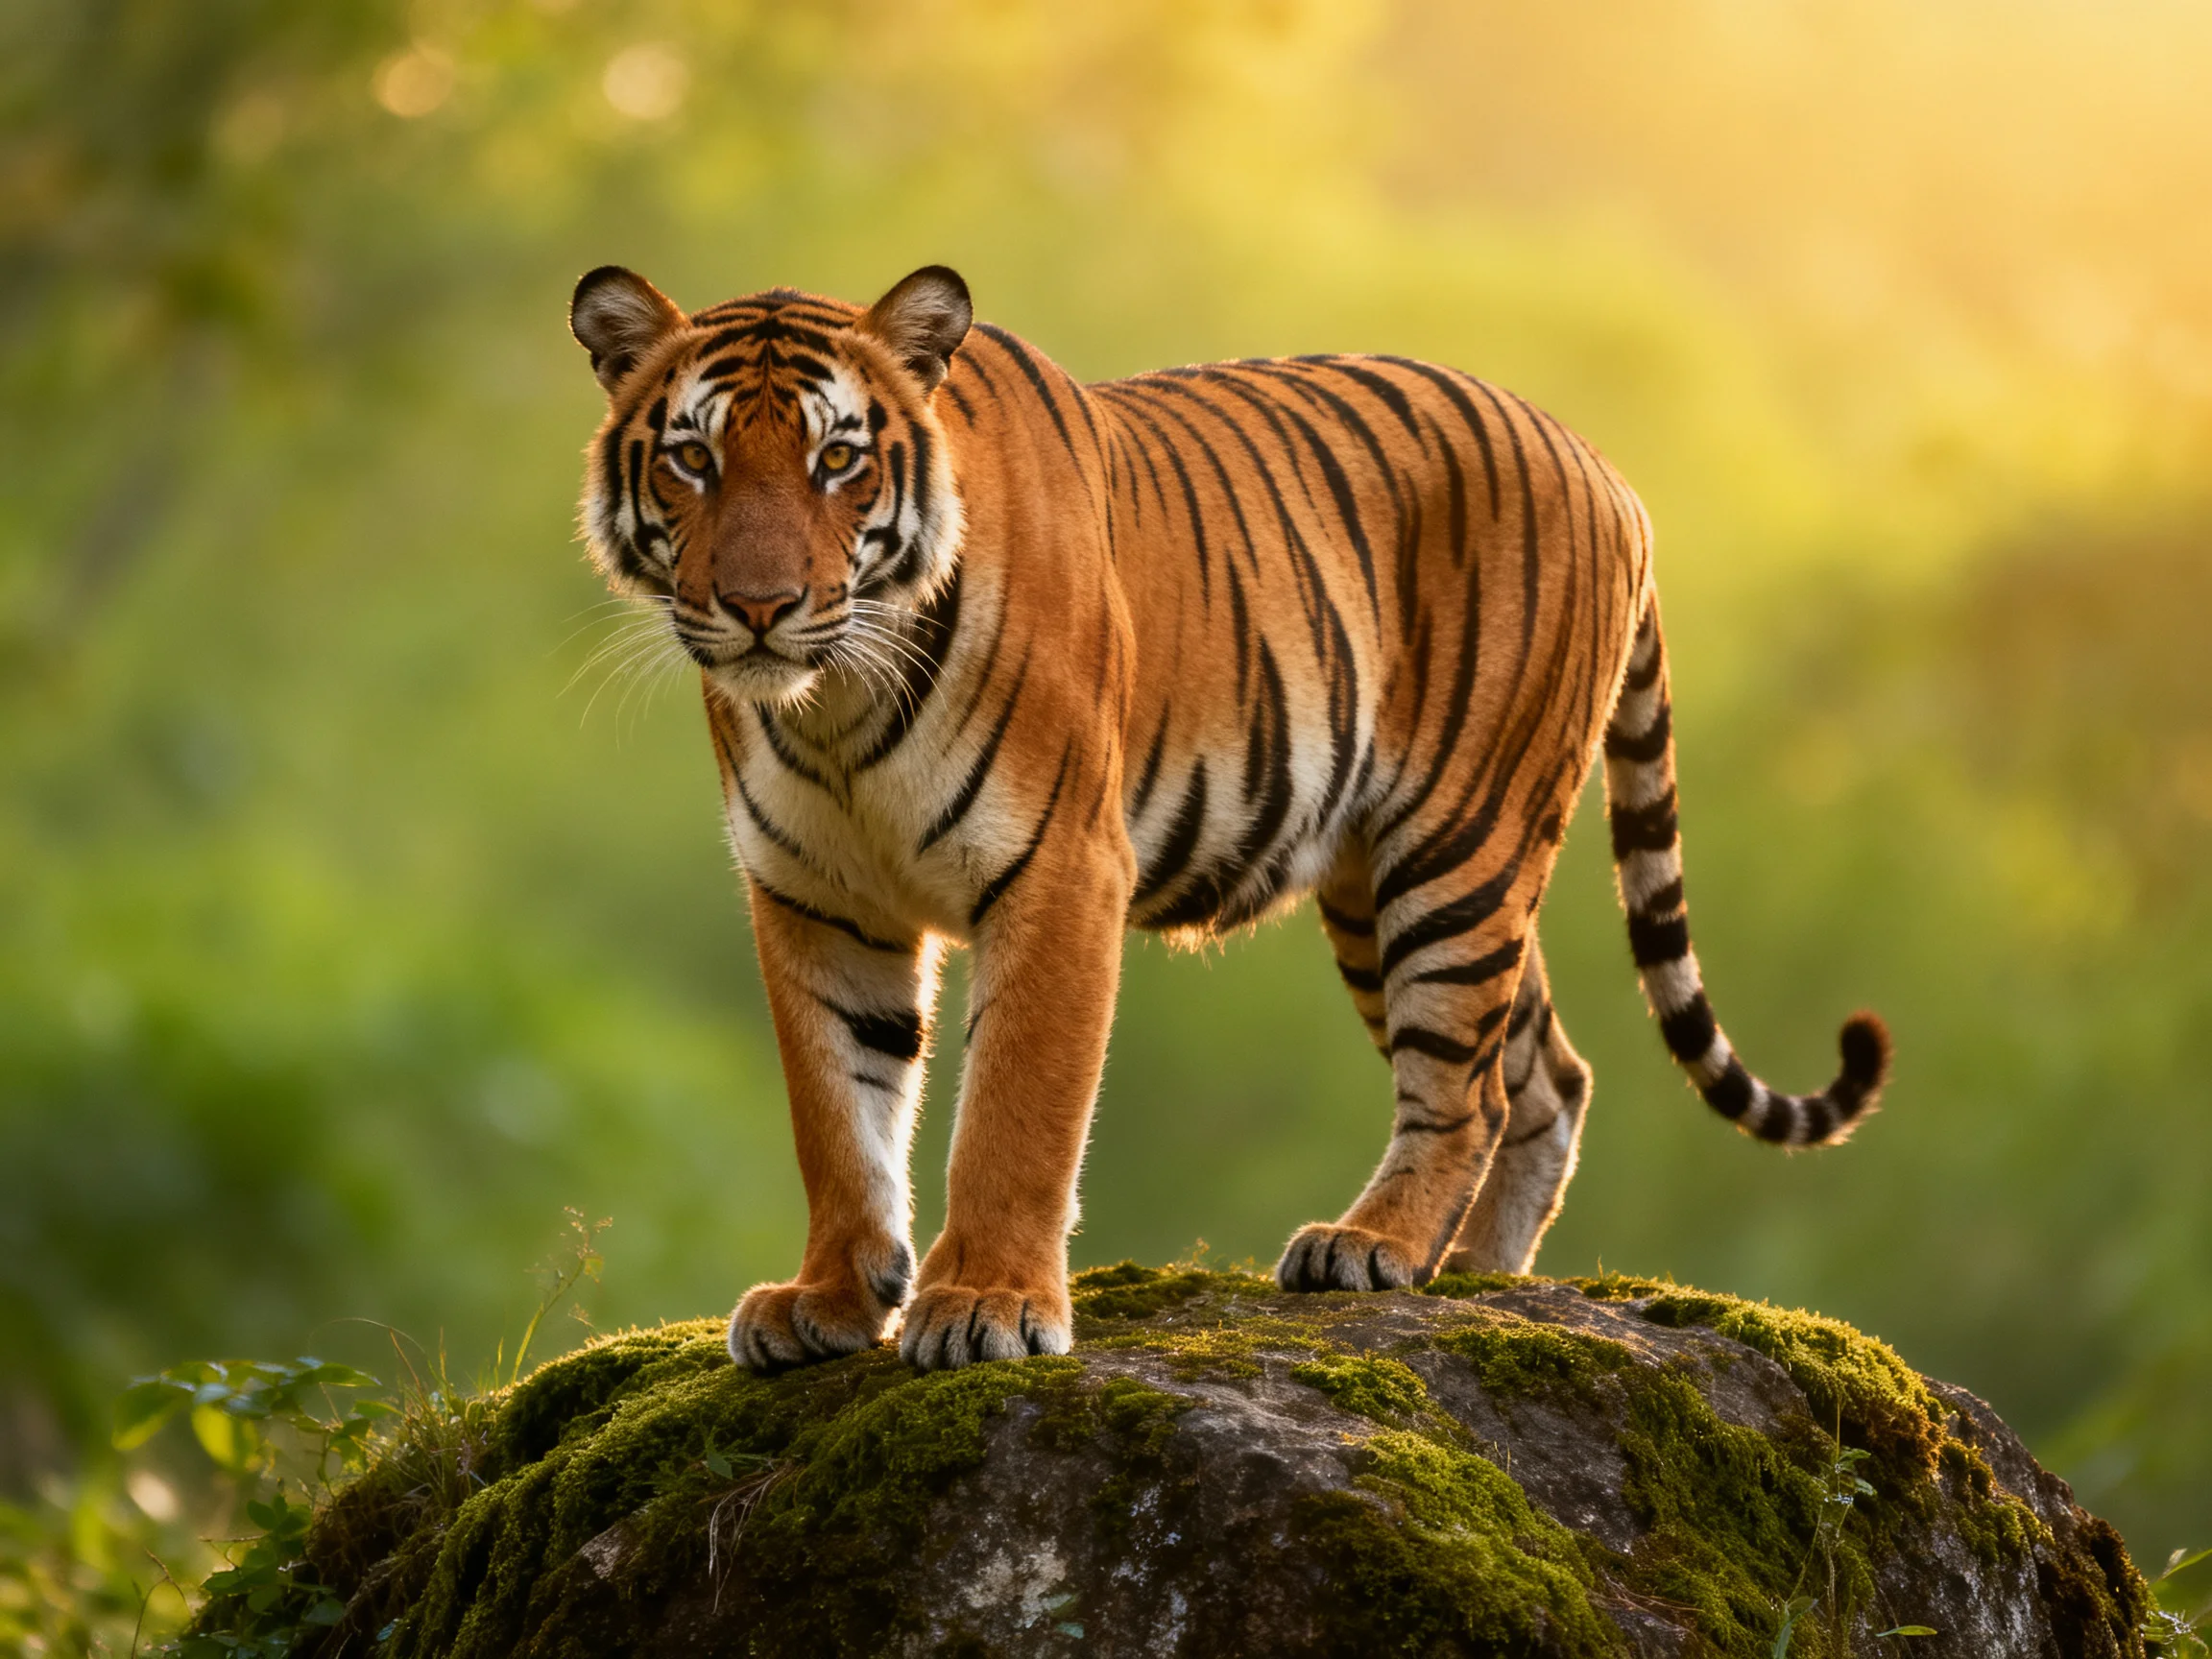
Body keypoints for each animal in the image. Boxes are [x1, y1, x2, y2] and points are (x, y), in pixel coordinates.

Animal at [567, 261, 1891, 1373]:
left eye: (838, 461)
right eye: (693, 461)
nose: (759, 606)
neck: (835, 705)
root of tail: (1603, 463)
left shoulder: (1059, 867)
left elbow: (1013, 1112)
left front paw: (987, 1305)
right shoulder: (812, 895)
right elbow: (838, 1116)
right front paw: (831, 1301)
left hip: (1457, 847)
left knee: (1468, 1086)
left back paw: (1374, 1249)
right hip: (1382, 883)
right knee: (1544, 1073)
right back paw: (1476, 1282)